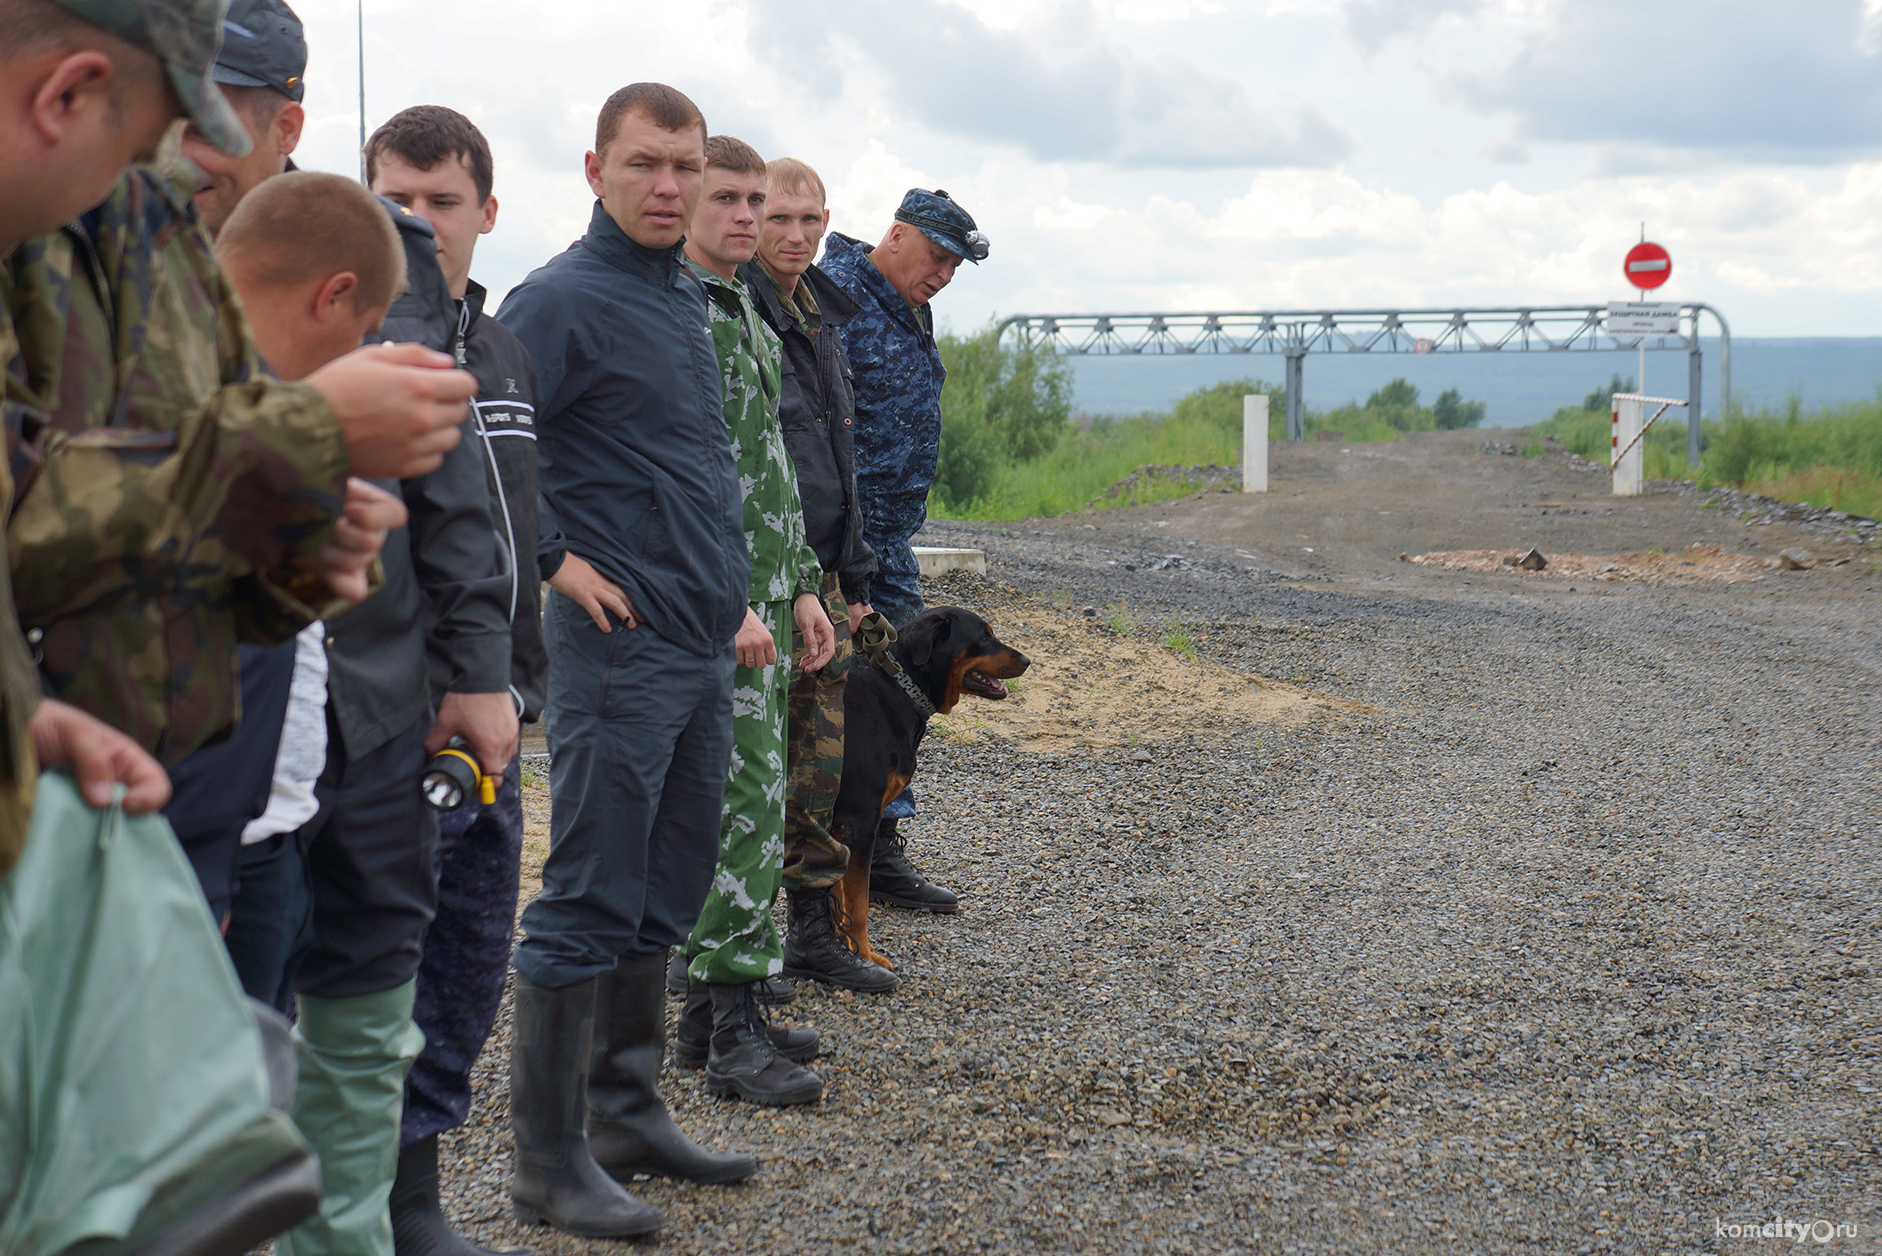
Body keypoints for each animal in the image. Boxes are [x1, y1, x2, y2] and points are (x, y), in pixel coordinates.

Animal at [831, 602, 1031, 971]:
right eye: (984, 637)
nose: (1027, 660)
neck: (900, 687)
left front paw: (844, 947)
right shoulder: (857, 819)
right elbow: (858, 903)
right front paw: (865, 956)